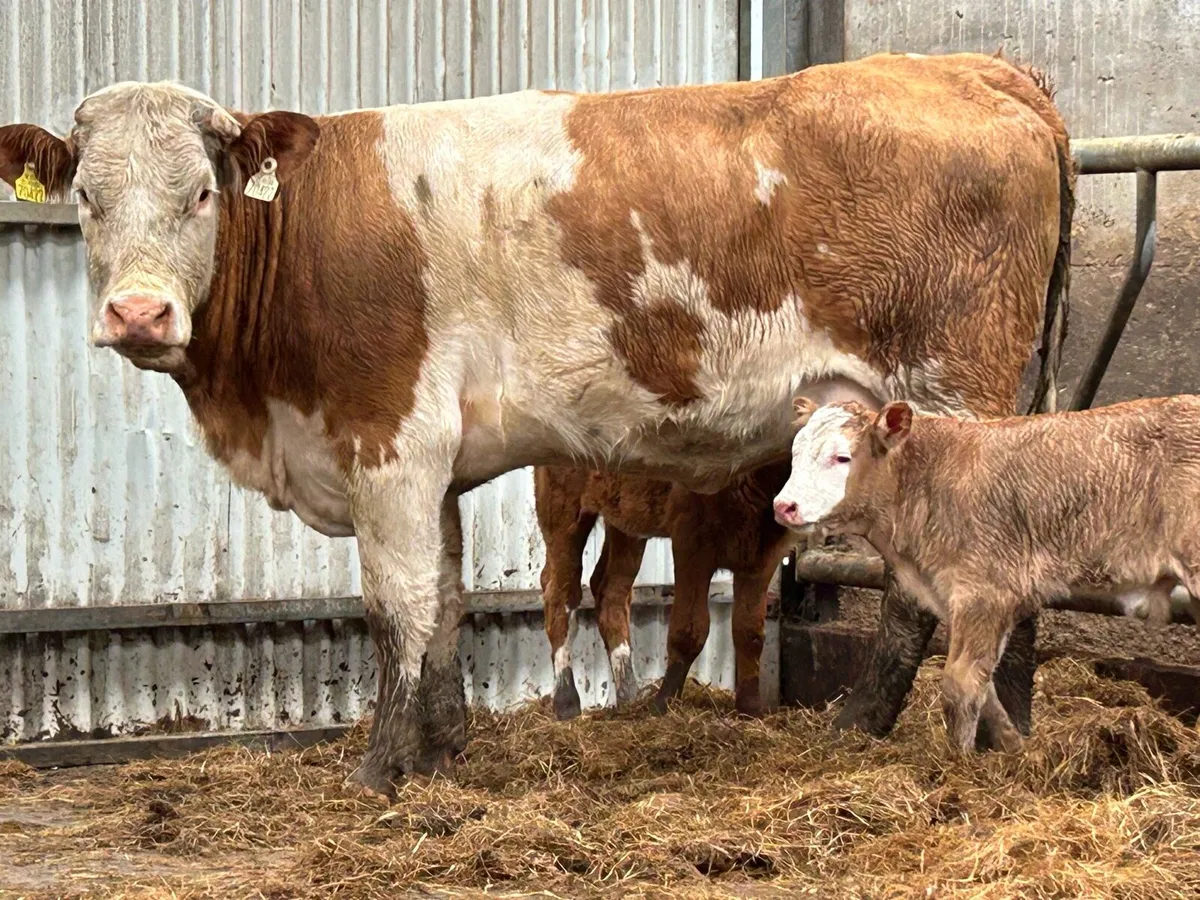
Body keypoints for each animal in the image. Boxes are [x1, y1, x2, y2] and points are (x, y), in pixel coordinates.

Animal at [535, 462, 795, 719]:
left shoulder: (763, 557)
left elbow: (750, 632)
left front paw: (750, 708)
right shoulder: (691, 541)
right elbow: (689, 629)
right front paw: (664, 703)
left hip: (625, 518)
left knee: (610, 590)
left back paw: (629, 695)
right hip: (563, 508)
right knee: (560, 592)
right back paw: (566, 700)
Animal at [773, 396, 1200, 753]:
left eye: (842, 457)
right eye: (794, 454)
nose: (784, 506)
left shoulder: (984, 591)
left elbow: (959, 684)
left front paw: (956, 765)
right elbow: (985, 686)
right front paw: (1015, 750)